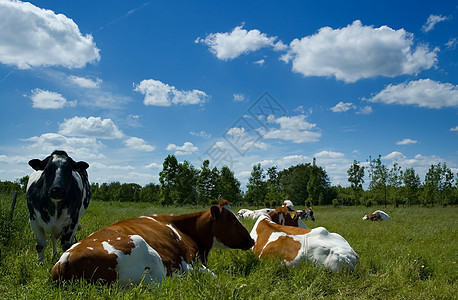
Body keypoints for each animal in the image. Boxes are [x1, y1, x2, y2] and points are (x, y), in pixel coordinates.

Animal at [52, 200, 258, 284]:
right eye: (232, 220)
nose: (251, 240)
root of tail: (65, 260)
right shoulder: (190, 261)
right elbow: (214, 276)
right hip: (145, 256)